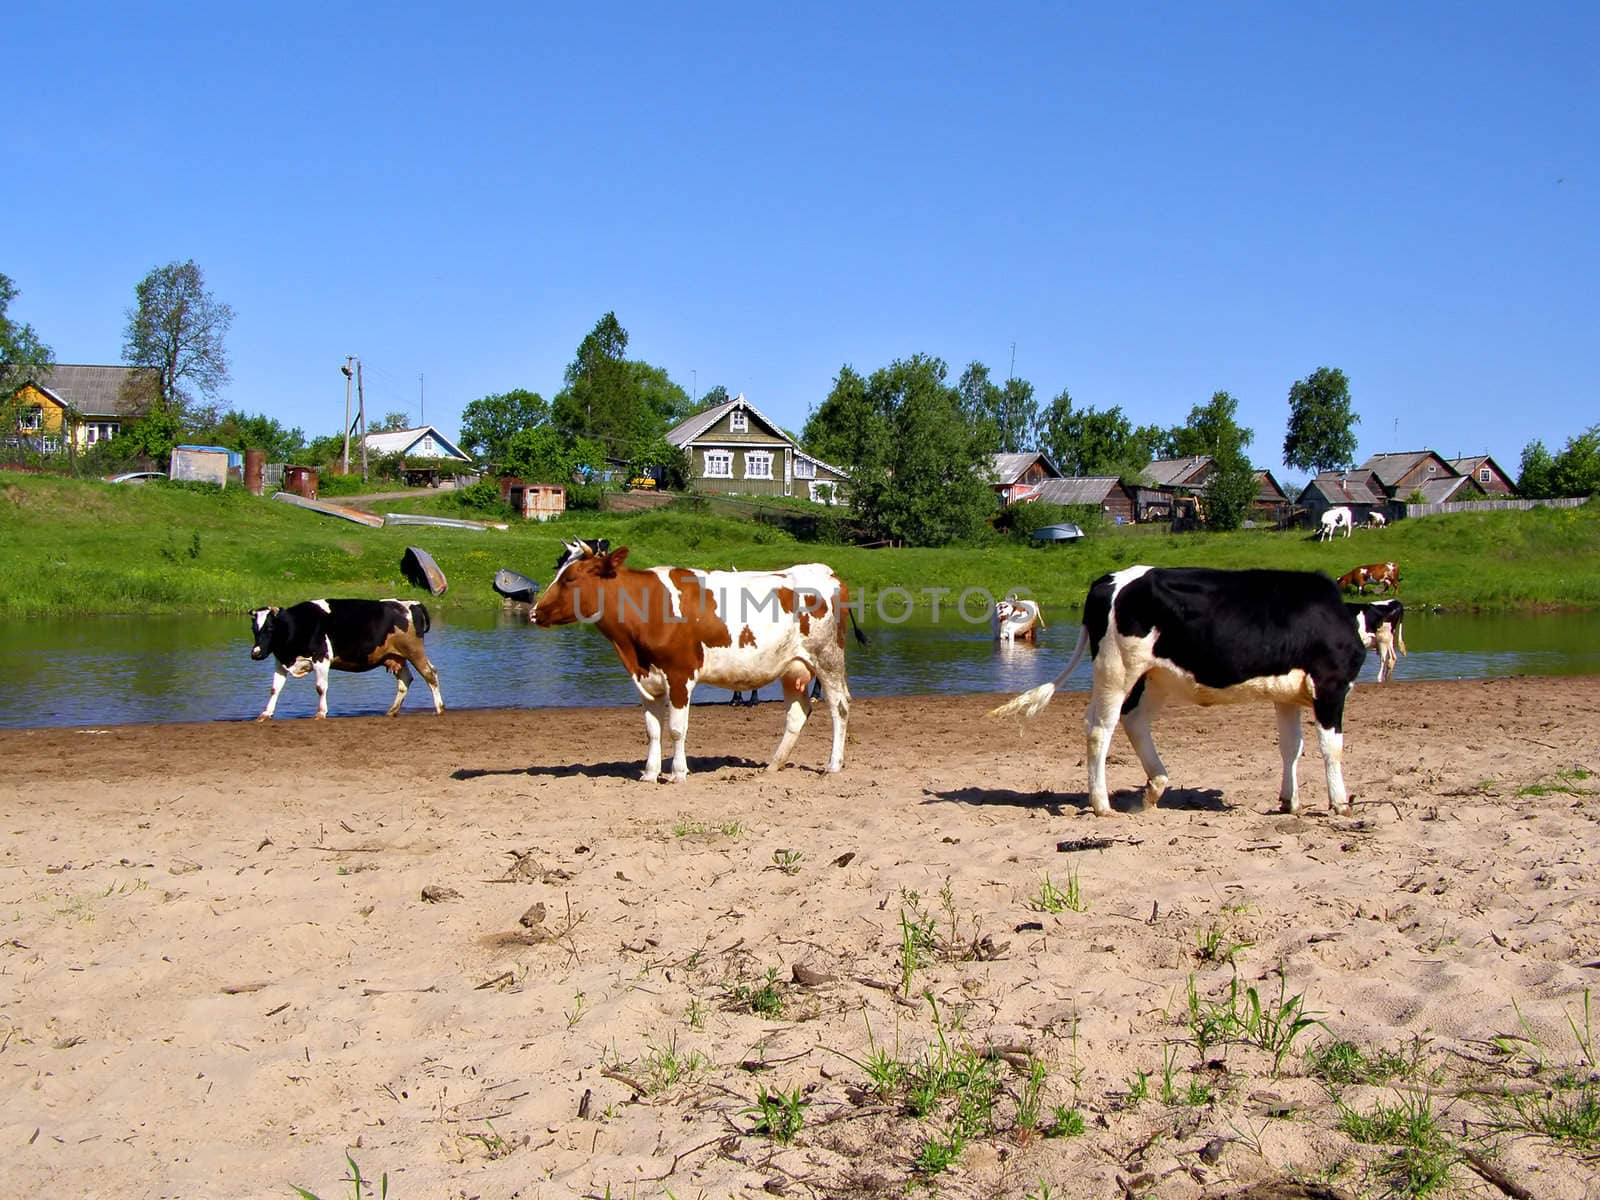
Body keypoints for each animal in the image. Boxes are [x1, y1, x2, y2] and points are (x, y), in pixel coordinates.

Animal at [248, 598, 444, 720]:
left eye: (270, 627)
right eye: (254, 629)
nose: (256, 653)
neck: (298, 625)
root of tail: (411, 603)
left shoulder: (322, 658)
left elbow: (320, 687)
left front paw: (321, 713)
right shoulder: (281, 662)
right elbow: (275, 689)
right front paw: (265, 714)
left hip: (414, 651)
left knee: (430, 674)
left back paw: (439, 709)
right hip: (395, 656)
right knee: (405, 679)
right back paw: (391, 711)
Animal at [531, 540, 864, 784]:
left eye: (570, 578)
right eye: (558, 569)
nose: (534, 612)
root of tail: (827, 572)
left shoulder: (680, 675)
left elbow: (677, 728)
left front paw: (678, 773)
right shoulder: (645, 680)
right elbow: (653, 729)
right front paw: (649, 773)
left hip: (828, 659)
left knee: (839, 706)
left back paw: (833, 764)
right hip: (793, 667)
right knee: (797, 713)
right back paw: (774, 764)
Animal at [985, 566, 1363, 819]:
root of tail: (1108, 580)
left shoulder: (1286, 695)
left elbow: (1290, 747)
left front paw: (1290, 802)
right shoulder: (1331, 687)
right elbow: (1332, 748)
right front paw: (1340, 802)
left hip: (1153, 677)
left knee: (1134, 720)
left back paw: (1155, 785)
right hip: (1117, 670)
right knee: (1099, 729)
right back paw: (1102, 804)